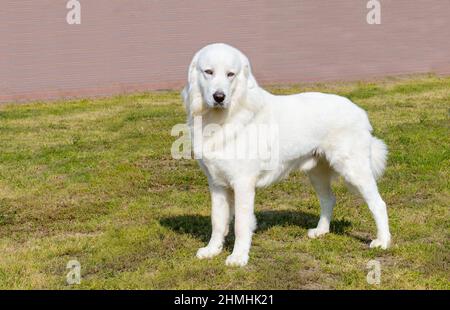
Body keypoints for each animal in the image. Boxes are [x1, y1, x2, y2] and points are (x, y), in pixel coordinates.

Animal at [182, 43, 390, 266]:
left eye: (231, 74)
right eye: (208, 72)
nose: (219, 97)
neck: (224, 118)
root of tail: (359, 111)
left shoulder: (243, 183)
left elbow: (241, 224)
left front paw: (238, 257)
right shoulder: (217, 184)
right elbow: (218, 221)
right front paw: (212, 250)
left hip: (354, 170)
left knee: (378, 204)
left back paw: (383, 242)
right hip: (317, 173)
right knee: (329, 200)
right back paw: (321, 231)